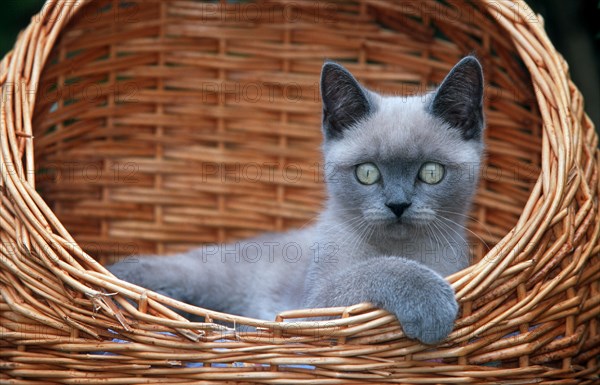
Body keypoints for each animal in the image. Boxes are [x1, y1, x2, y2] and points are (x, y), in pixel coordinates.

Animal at [106, 55, 482, 344]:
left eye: (431, 172)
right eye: (367, 173)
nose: (398, 205)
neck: (406, 249)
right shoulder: (315, 305)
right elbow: (376, 269)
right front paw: (433, 305)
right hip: (195, 280)